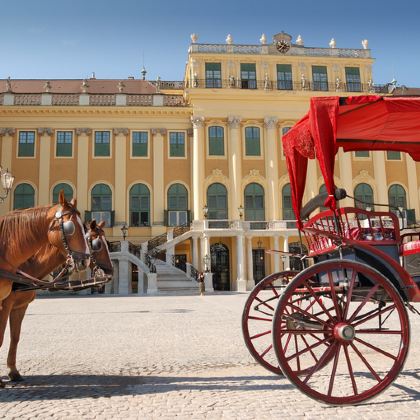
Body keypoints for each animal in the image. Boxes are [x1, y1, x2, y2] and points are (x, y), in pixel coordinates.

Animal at [2, 220, 113, 384]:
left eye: (108, 243)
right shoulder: (4, 306)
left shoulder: (20, 307)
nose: (110, 272)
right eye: (97, 244)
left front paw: (13, 371)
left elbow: (15, 337)